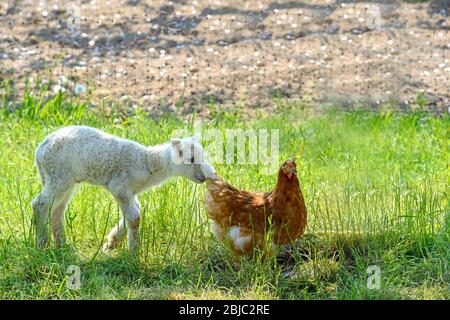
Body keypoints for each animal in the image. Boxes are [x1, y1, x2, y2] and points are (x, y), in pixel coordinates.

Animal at [32, 125, 216, 250]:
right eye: (191, 159)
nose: (203, 177)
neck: (147, 162)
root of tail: (40, 148)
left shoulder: (131, 192)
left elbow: (135, 213)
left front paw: (112, 241)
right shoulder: (119, 186)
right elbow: (134, 218)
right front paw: (134, 250)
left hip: (66, 180)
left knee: (56, 210)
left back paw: (62, 244)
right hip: (58, 175)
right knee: (39, 204)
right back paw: (42, 243)